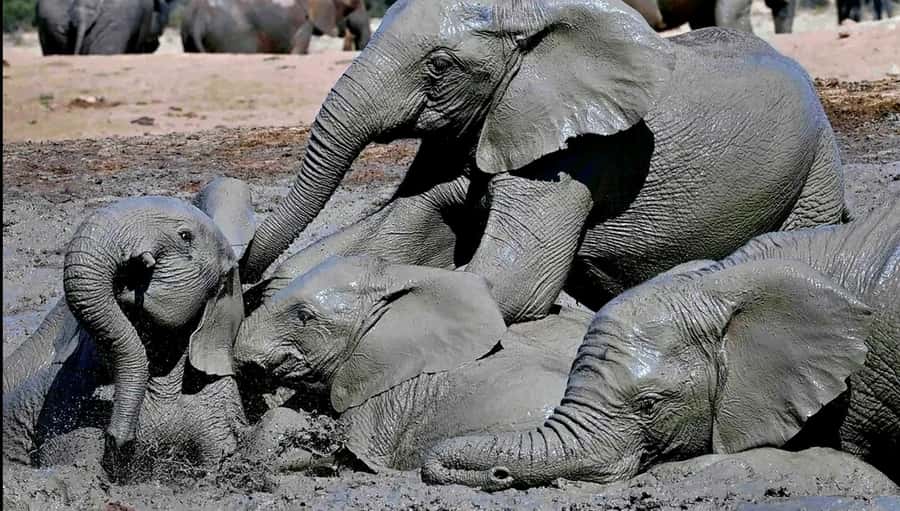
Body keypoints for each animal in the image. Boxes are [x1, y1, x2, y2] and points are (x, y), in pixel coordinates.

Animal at [238, 0, 848, 327]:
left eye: (439, 66)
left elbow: (508, 284)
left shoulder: (578, 152)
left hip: (815, 172)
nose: (244, 271)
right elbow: (404, 226)